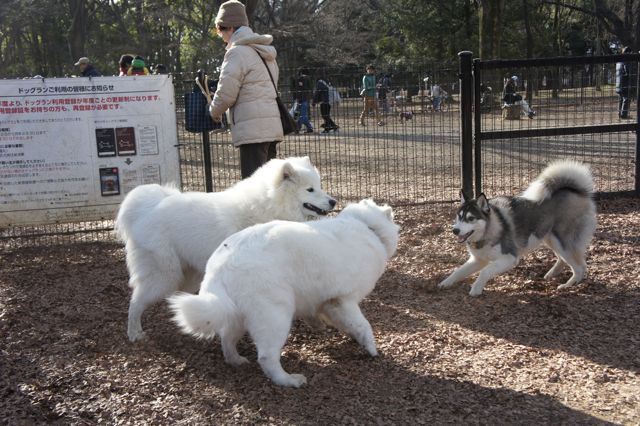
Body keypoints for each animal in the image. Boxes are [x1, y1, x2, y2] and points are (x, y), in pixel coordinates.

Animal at [115, 157, 338, 342]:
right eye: (310, 189)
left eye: (319, 186)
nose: (333, 201)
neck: (269, 206)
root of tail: (147, 208)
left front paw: (316, 321)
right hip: (163, 275)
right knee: (135, 302)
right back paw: (134, 333)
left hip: (189, 274)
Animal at [170, 198, 400, 388]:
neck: (367, 227)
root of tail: (220, 265)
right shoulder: (344, 300)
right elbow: (363, 325)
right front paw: (371, 348)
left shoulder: (328, 303)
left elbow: (340, 322)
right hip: (275, 316)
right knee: (266, 357)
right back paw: (288, 380)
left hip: (236, 315)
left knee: (226, 340)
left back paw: (236, 360)